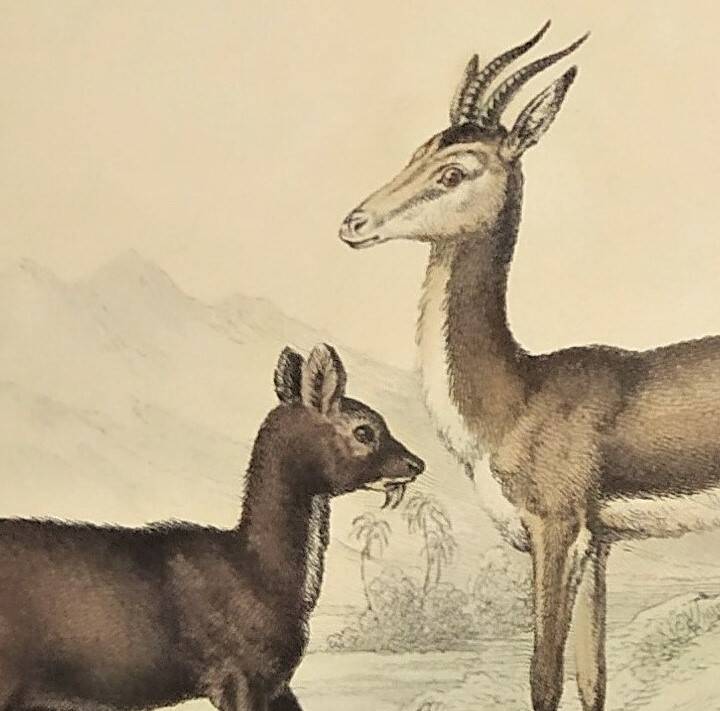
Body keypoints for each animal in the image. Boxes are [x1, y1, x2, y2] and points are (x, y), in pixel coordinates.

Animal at [339, 22, 720, 711]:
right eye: (417, 152)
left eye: (454, 170)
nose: (354, 223)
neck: (518, 395)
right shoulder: (598, 546)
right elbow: (592, 680)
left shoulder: (556, 532)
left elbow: (544, 679)